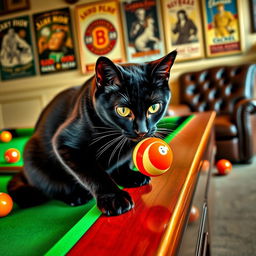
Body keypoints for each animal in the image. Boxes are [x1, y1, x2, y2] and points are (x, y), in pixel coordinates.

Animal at [8, 50, 176, 216]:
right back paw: (76, 196)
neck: (115, 136)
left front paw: (129, 176)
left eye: (154, 107)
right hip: (33, 157)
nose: (142, 131)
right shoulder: (65, 144)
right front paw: (113, 198)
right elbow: (94, 173)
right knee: (51, 187)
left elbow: (122, 163)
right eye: (123, 110)